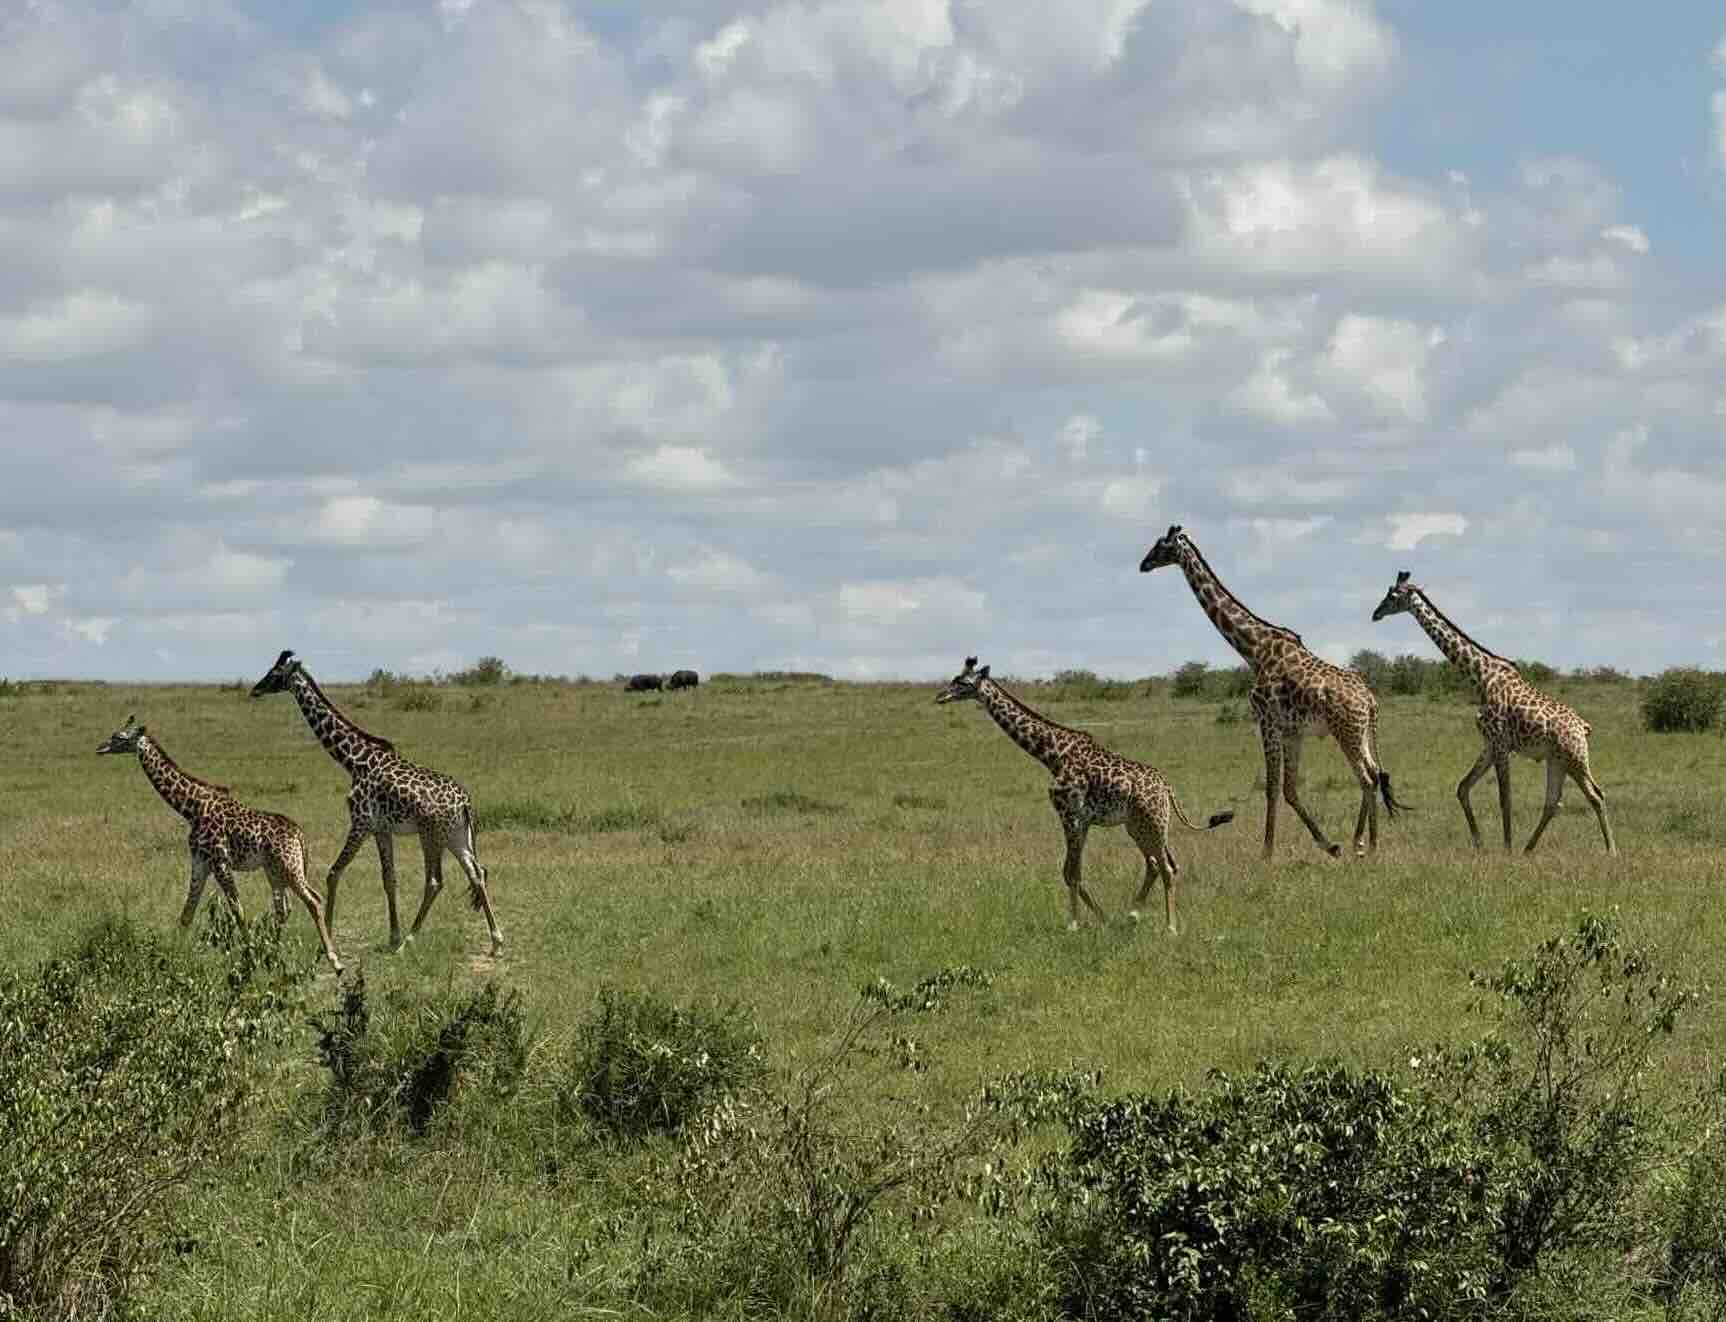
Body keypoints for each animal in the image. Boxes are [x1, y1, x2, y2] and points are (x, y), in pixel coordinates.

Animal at [96, 714, 345, 973]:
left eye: (119, 737)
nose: (100, 748)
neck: (192, 808)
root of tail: (299, 835)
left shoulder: (220, 861)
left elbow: (238, 910)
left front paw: (250, 956)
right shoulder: (200, 861)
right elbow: (187, 911)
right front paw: (171, 956)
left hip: (289, 866)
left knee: (313, 900)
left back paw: (334, 960)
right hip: (274, 870)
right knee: (283, 908)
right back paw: (275, 954)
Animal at [250, 648, 503, 952]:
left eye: (275, 673)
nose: (255, 689)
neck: (354, 761)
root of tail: (465, 803)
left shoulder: (360, 823)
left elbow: (333, 873)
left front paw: (329, 937)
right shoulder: (382, 829)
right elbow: (389, 878)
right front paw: (392, 934)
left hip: (431, 834)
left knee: (435, 881)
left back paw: (410, 940)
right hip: (456, 835)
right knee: (476, 873)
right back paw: (496, 940)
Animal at [938, 659, 1235, 931]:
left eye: (962, 682)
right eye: (955, 678)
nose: (940, 696)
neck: (1052, 754)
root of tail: (1167, 787)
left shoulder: (1070, 815)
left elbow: (1071, 873)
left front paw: (1074, 923)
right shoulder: (1083, 821)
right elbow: (1071, 871)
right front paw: (1102, 918)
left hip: (1153, 823)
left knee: (1167, 867)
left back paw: (1170, 927)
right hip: (1138, 826)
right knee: (1157, 864)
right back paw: (1132, 915)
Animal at [1139, 524, 1408, 862]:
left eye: (1161, 546)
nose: (1143, 564)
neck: (1253, 648)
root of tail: (1371, 701)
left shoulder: (1267, 721)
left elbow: (1271, 787)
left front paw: (1266, 852)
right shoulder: (1294, 731)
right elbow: (1289, 789)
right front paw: (1329, 845)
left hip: (1346, 732)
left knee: (1368, 778)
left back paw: (1368, 845)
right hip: (1360, 733)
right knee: (1374, 773)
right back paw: (1363, 843)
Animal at [1373, 572, 1615, 859]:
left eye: (1393, 596)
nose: (1375, 613)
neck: (1480, 677)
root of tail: (1583, 727)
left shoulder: (1500, 743)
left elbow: (1504, 798)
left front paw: (1506, 848)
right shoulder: (1489, 743)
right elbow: (1463, 787)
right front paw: (1479, 842)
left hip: (1575, 757)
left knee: (1596, 795)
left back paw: (1611, 850)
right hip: (1556, 760)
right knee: (1553, 802)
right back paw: (1528, 849)